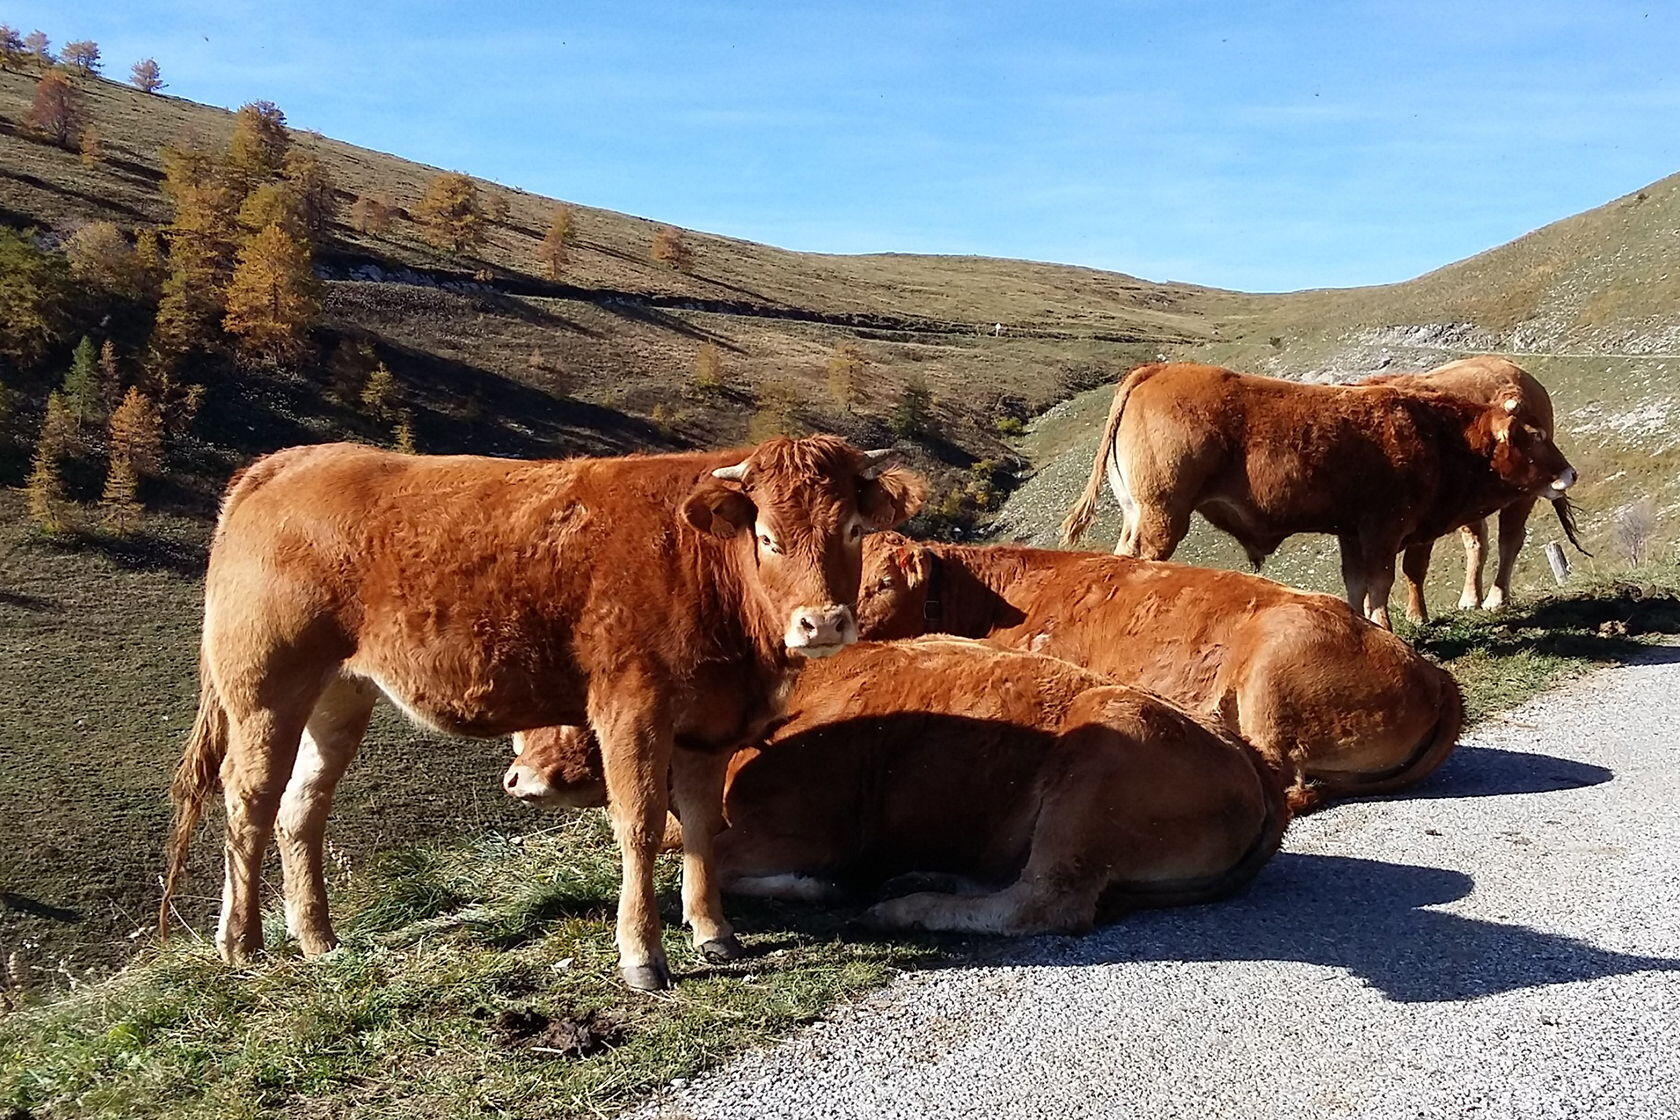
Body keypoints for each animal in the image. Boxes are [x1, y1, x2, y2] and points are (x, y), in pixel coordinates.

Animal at [158, 436, 927, 987]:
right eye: (767, 537)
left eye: (852, 529)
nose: (822, 623)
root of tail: (290, 460)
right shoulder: (631, 705)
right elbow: (641, 825)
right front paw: (642, 956)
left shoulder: (708, 724)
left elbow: (704, 824)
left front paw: (713, 932)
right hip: (264, 688)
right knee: (249, 802)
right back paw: (243, 944)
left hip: (339, 694)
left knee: (302, 807)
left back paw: (318, 939)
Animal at [503, 638, 1276, 940]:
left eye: (566, 703)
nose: (514, 778)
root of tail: (1246, 758)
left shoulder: (799, 828)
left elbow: (717, 860)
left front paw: (819, 889)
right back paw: (922, 877)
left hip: (1097, 761)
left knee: (1045, 902)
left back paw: (905, 907)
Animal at [1061, 366, 1572, 631]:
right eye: (1537, 436)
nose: (1570, 471)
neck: (1431, 430)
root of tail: (1160, 369)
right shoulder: (1382, 529)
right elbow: (1381, 582)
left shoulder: (1352, 532)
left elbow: (1357, 585)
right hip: (1162, 515)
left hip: (1138, 514)